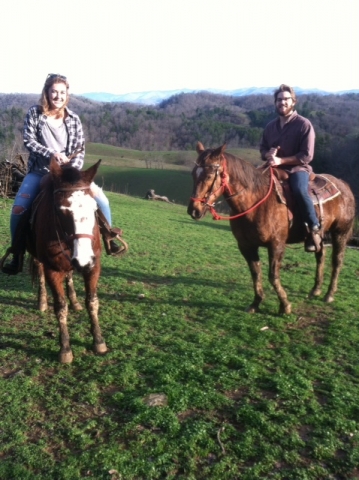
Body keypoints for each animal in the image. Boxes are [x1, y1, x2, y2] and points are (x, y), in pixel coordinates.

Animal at [29, 159, 106, 362]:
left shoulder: (94, 266)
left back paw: (74, 300)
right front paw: (65, 349)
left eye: (95, 208)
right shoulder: (53, 269)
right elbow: (60, 307)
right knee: (39, 271)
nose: (83, 260)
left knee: (70, 275)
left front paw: (98, 341)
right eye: (60, 210)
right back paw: (42, 301)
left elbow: (92, 302)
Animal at [187, 142, 356, 316]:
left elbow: (273, 276)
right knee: (320, 256)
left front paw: (285, 305)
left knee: (337, 261)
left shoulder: (276, 245)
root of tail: (343, 185)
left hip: (340, 233)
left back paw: (329, 294)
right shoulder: (246, 246)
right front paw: (256, 303)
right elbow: (255, 273)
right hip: (319, 236)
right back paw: (315, 290)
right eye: (193, 174)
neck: (255, 202)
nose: (194, 210)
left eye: (209, 175)